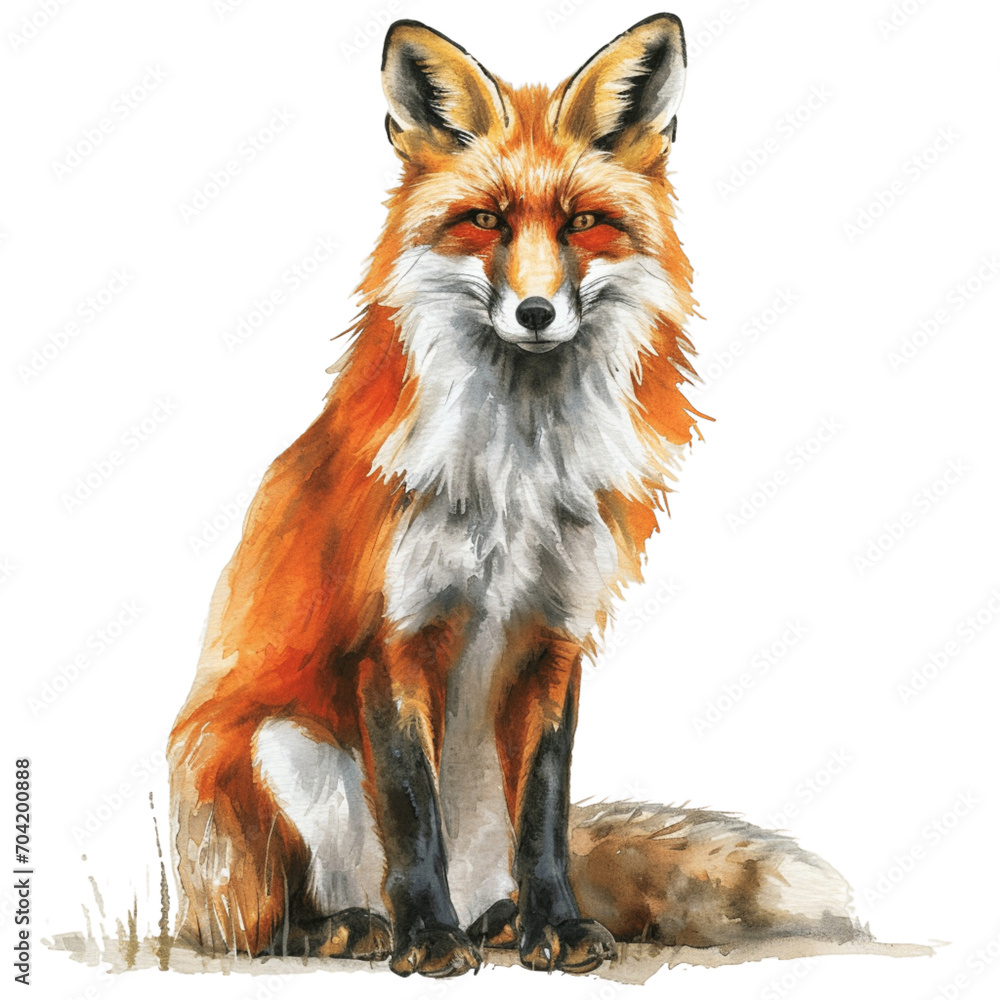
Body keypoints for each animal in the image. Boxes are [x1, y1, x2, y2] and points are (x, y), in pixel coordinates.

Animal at [168, 14, 862, 978]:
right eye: (486, 220)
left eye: (584, 223)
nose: (536, 313)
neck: (517, 475)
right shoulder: (393, 637)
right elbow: (411, 815)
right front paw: (427, 939)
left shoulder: (553, 636)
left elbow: (546, 818)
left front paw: (556, 927)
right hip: (271, 750)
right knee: (257, 917)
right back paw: (350, 928)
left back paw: (495, 922)